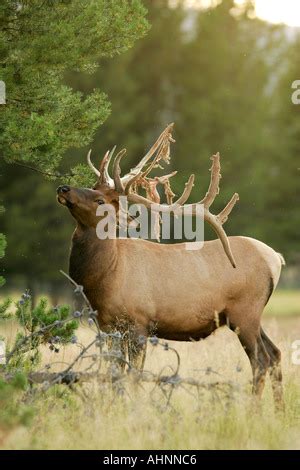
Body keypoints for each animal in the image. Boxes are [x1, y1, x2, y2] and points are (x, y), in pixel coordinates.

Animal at [57, 123, 284, 410]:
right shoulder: (107, 325)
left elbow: (134, 374)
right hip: (249, 315)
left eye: (100, 201)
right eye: (88, 187)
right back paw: (279, 411)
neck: (105, 276)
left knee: (261, 360)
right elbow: (115, 373)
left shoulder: (139, 322)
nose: (63, 188)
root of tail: (276, 258)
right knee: (275, 354)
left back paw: (253, 412)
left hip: (246, 311)